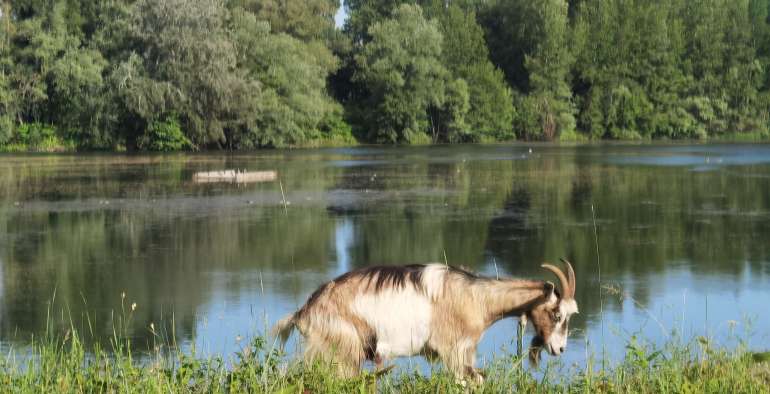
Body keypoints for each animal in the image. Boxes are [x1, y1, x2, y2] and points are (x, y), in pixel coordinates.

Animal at [270, 258, 576, 382]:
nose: (560, 349)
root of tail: (305, 311)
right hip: (341, 350)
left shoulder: (465, 353)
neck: (475, 297)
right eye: (557, 313)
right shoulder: (453, 350)